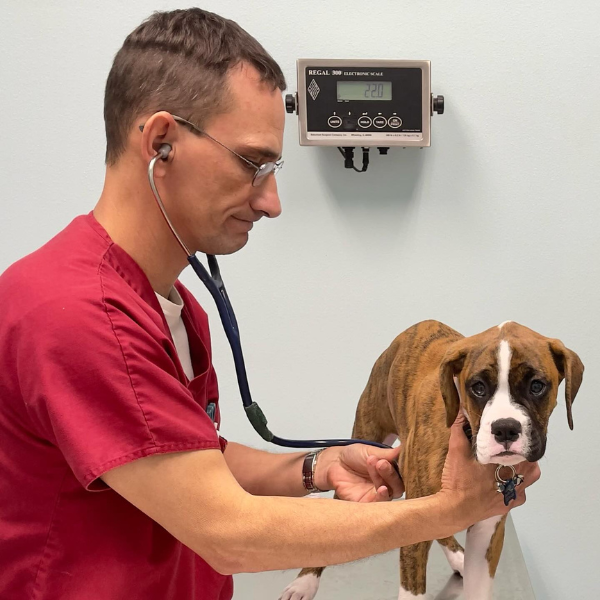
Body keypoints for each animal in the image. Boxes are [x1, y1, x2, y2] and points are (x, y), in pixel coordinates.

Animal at [278, 318, 584, 600]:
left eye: (537, 386)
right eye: (478, 387)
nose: (505, 428)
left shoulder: (488, 531)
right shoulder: (414, 534)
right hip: (365, 439)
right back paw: (305, 582)